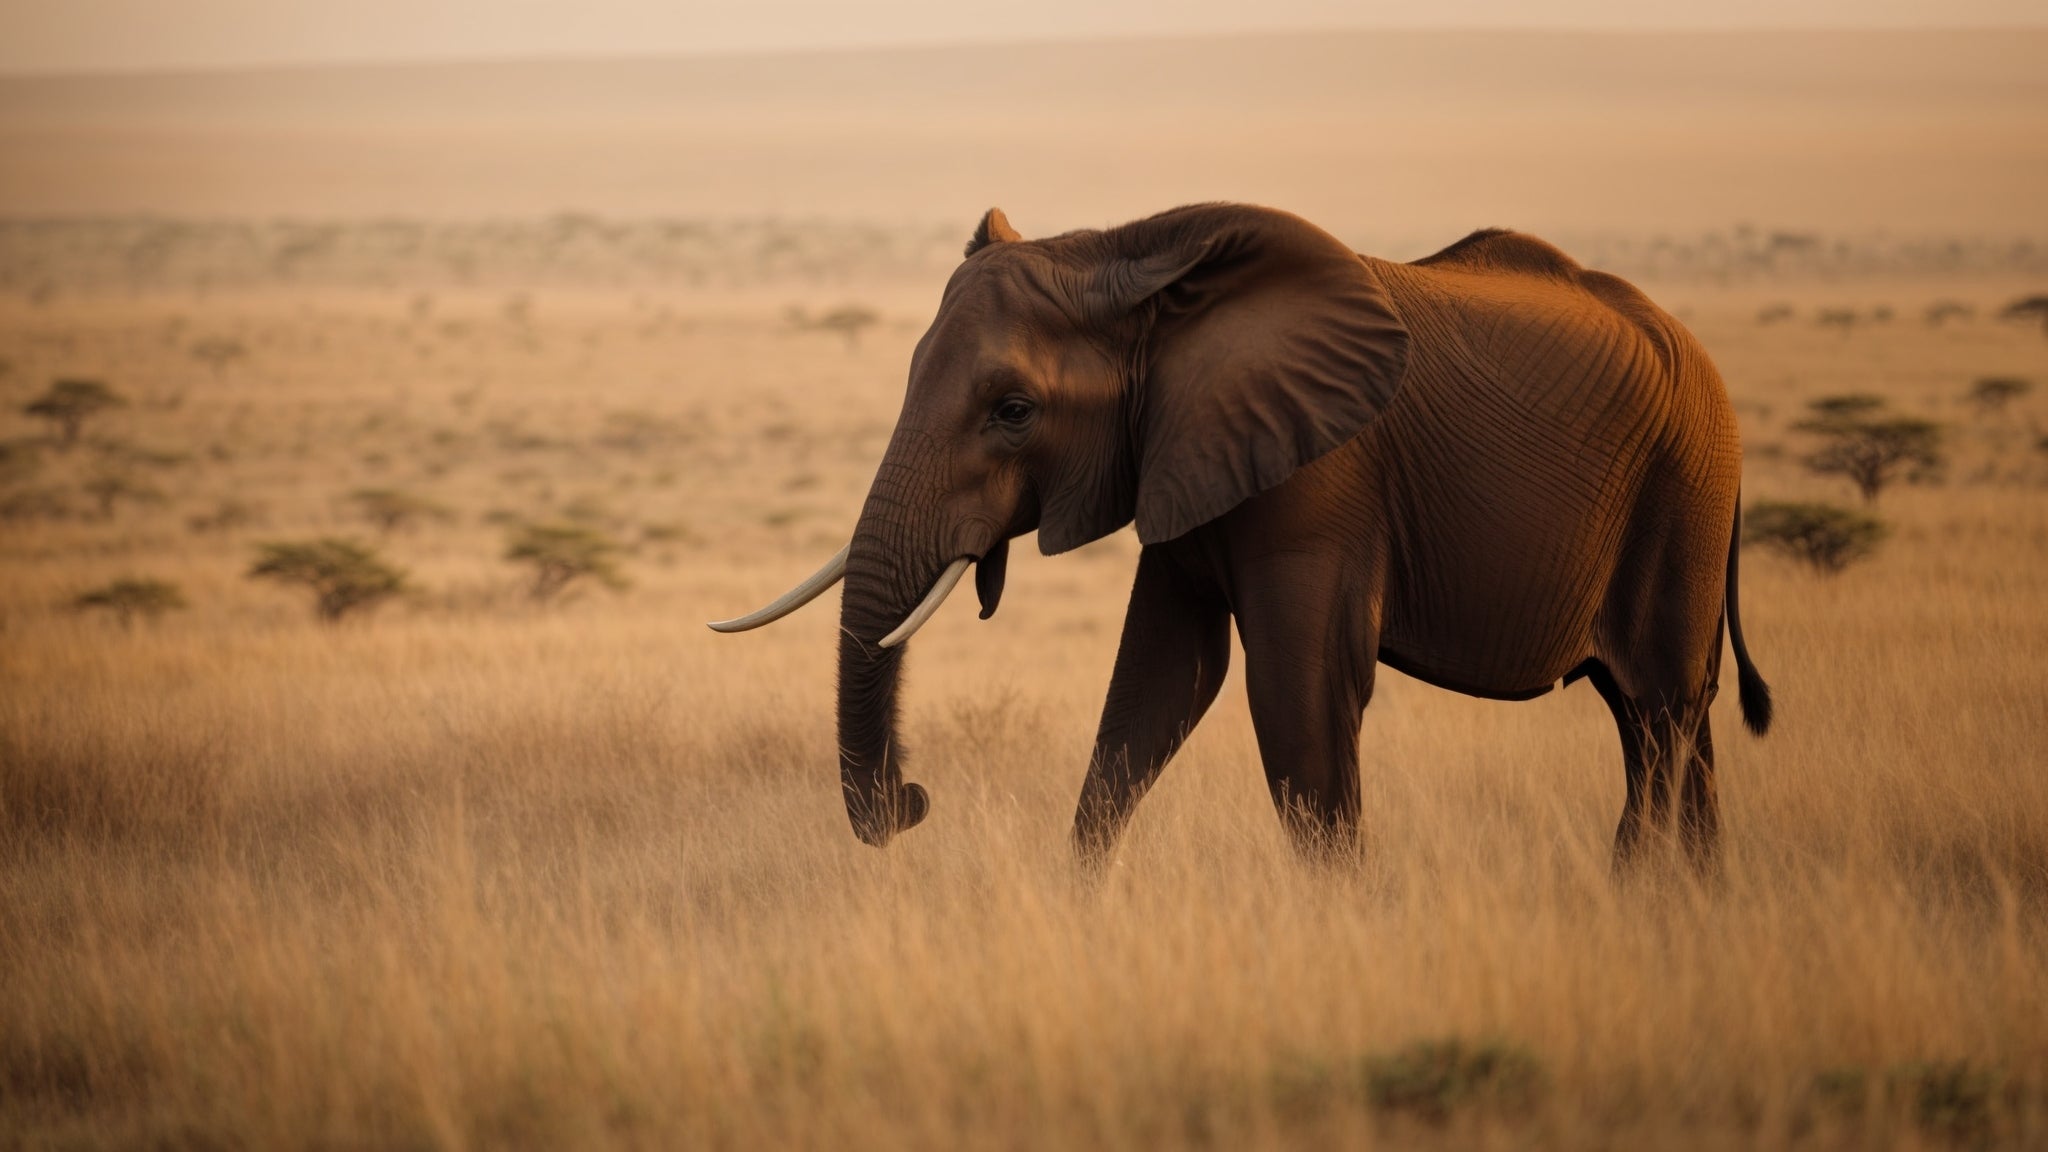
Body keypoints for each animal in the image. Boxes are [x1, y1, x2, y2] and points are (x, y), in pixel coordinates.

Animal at [711, 202, 1772, 873]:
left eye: (1013, 411)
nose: (914, 802)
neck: (1130, 265)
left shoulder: (1324, 477)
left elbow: (1297, 696)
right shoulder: (1184, 456)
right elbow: (1154, 688)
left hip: (1681, 493)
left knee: (1660, 713)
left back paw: (1638, 893)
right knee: (1669, 722)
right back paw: (1696, 904)